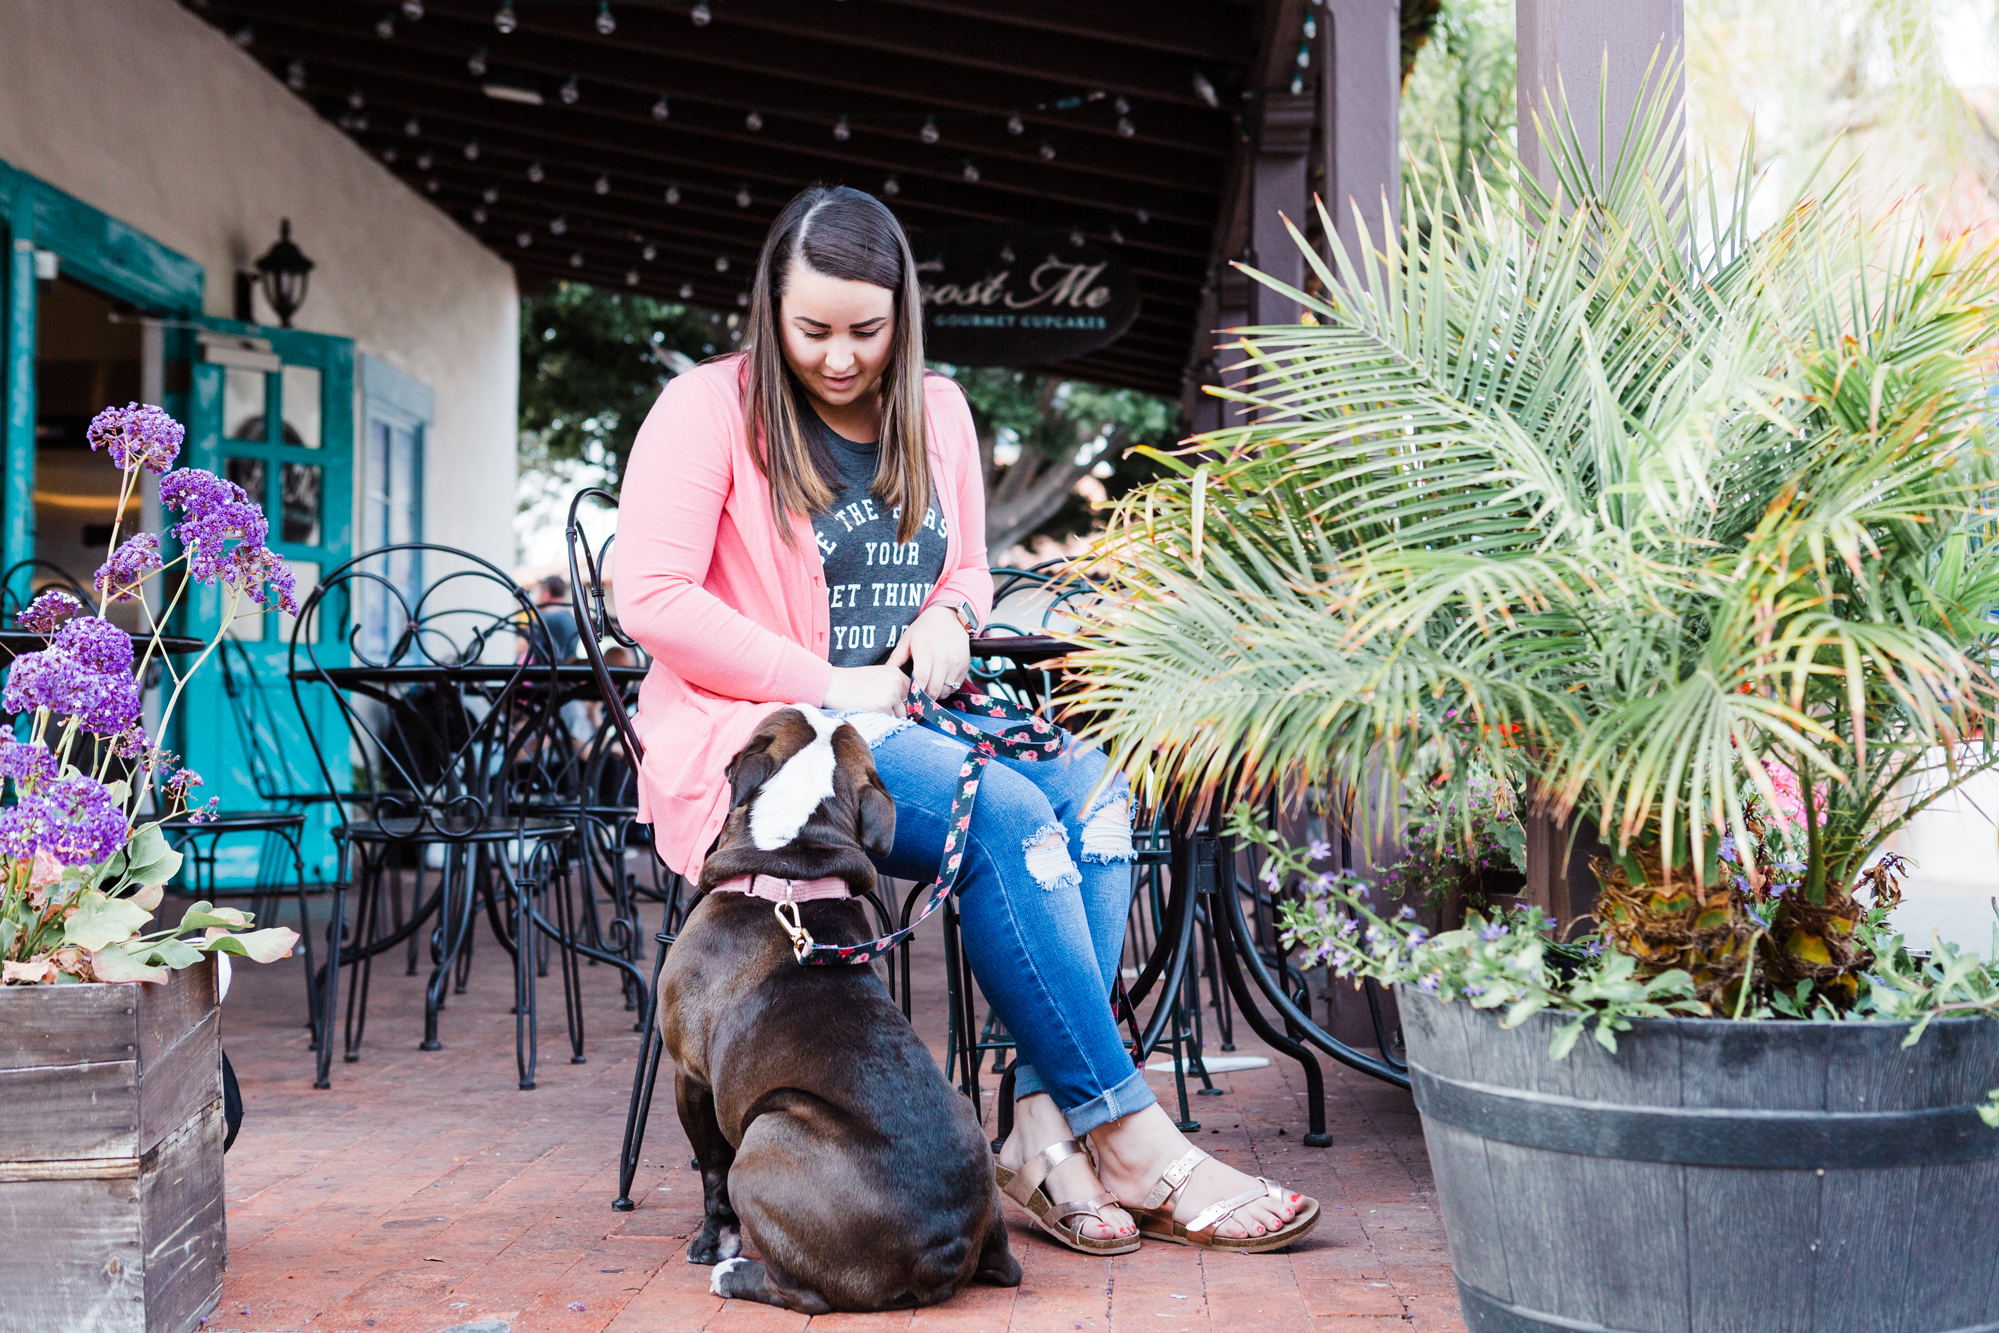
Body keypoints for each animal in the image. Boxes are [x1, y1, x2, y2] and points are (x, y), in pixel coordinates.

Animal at [659, 703, 1023, 1319]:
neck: (789, 869)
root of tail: (942, 1247)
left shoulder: (690, 1076)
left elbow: (709, 1170)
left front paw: (711, 1246)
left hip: (767, 1134)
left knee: (803, 1292)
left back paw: (733, 1274)